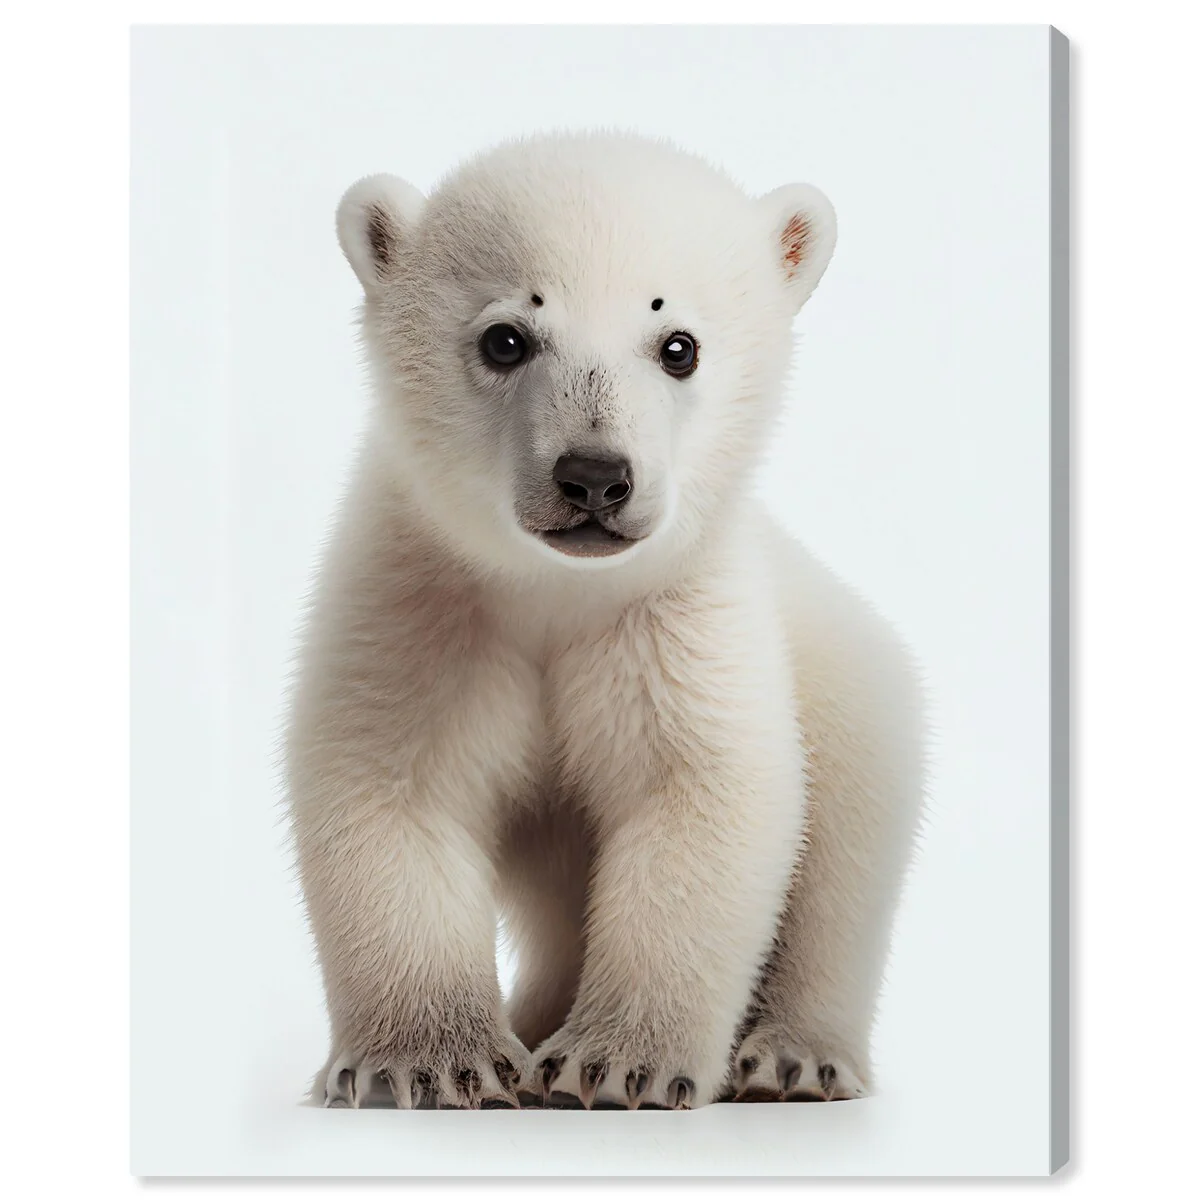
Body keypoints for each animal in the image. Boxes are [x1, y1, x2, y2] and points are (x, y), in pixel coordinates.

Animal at [285, 131, 926, 1111]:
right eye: (506, 338)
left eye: (677, 345)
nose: (593, 478)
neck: (558, 591)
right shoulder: (428, 602)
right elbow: (392, 791)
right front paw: (431, 1063)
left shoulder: (676, 623)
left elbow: (702, 797)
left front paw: (618, 1063)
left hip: (854, 692)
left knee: (843, 871)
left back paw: (791, 1058)